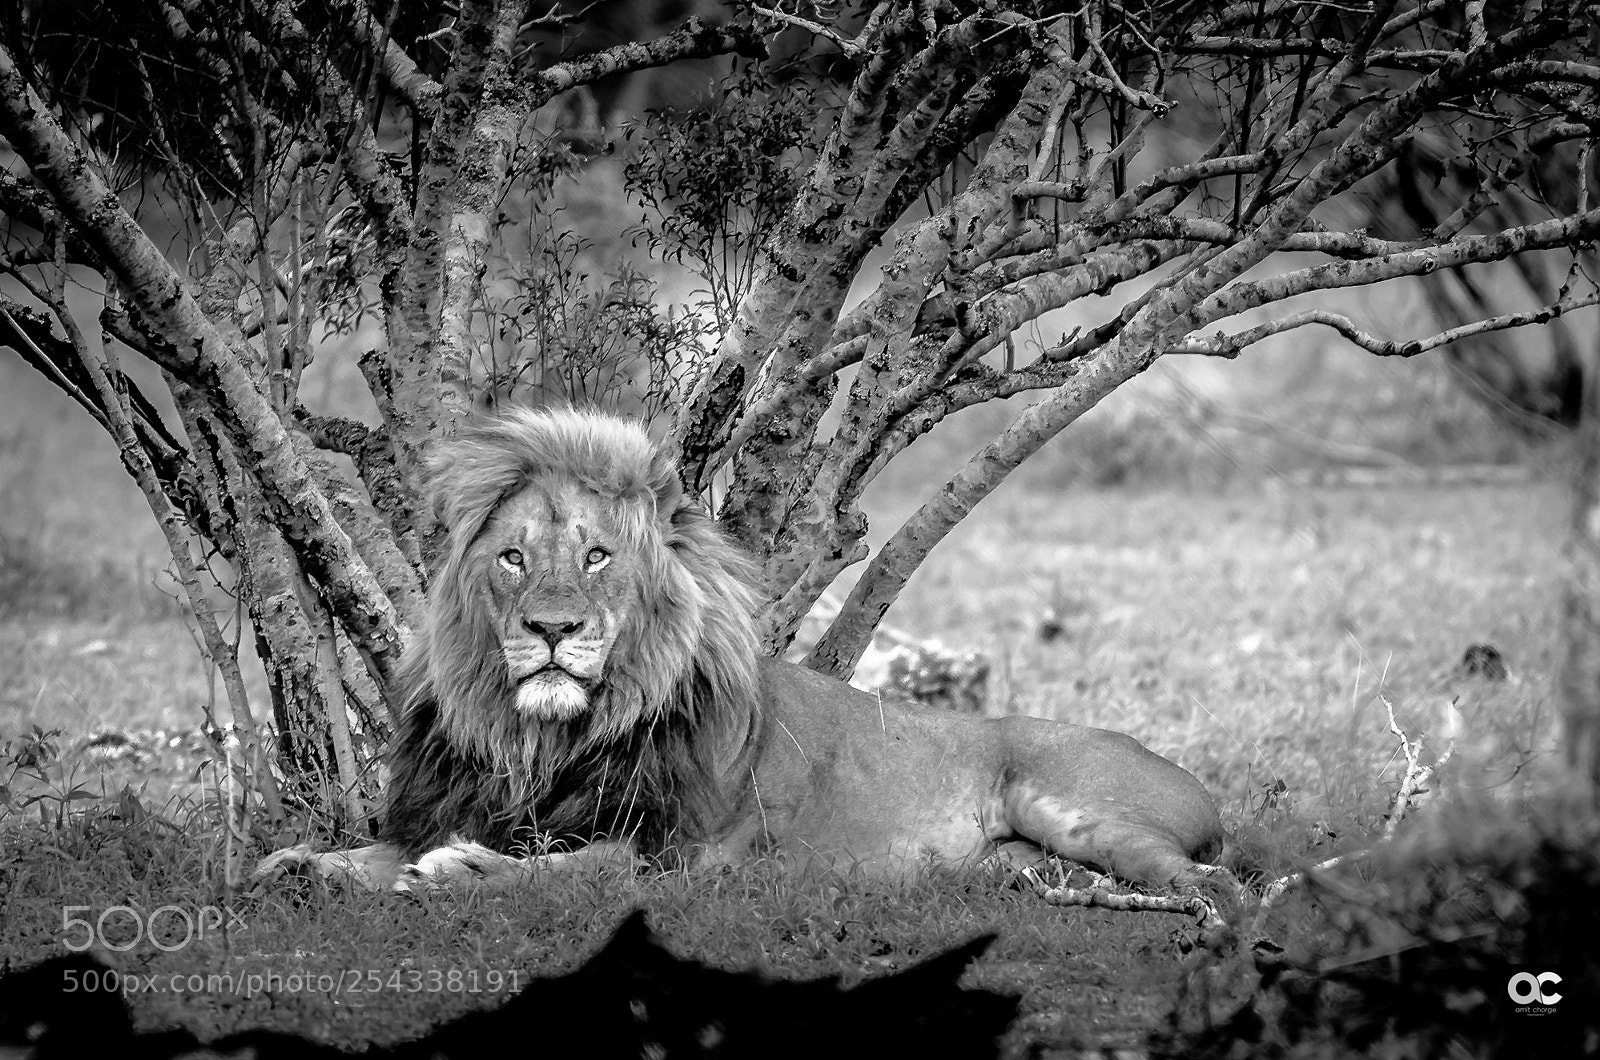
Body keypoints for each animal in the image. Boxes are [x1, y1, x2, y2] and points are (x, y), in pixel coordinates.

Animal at [256, 409, 1228, 895]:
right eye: (513, 559)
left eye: (597, 556)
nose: (552, 630)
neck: (545, 742)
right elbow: (359, 855)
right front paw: (299, 866)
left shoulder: (680, 856)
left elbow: (563, 871)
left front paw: (466, 870)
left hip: (1080, 805)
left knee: (1215, 885)